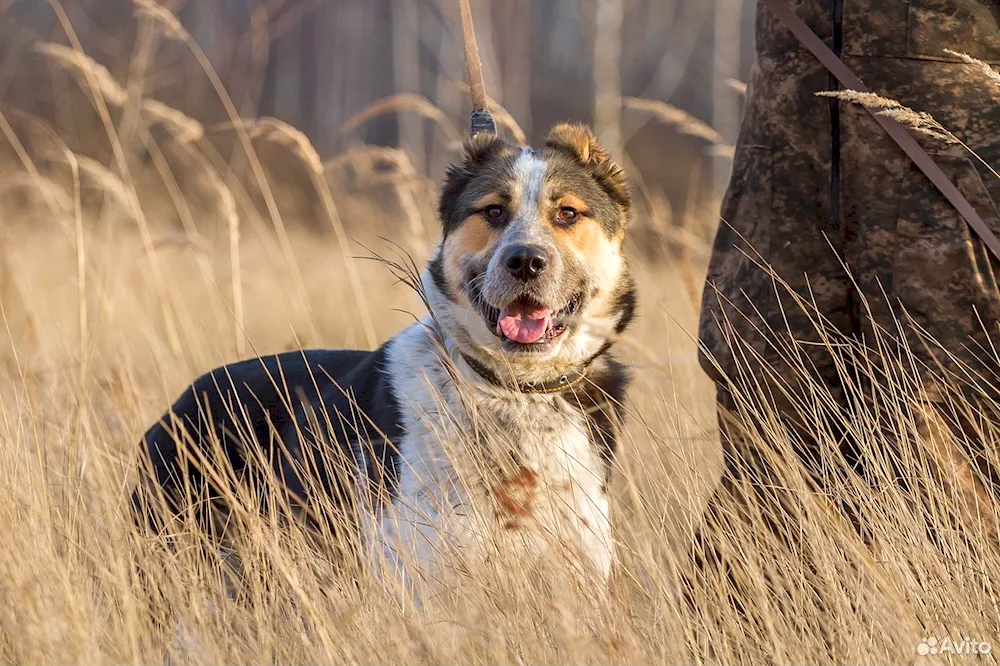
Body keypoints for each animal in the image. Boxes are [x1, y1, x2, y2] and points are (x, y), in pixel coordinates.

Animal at [133, 120, 636, 596]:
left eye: (567, 213)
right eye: (494, 211)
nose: (526, 260)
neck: (514, 390)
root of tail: (175, 407)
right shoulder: (419, 578)